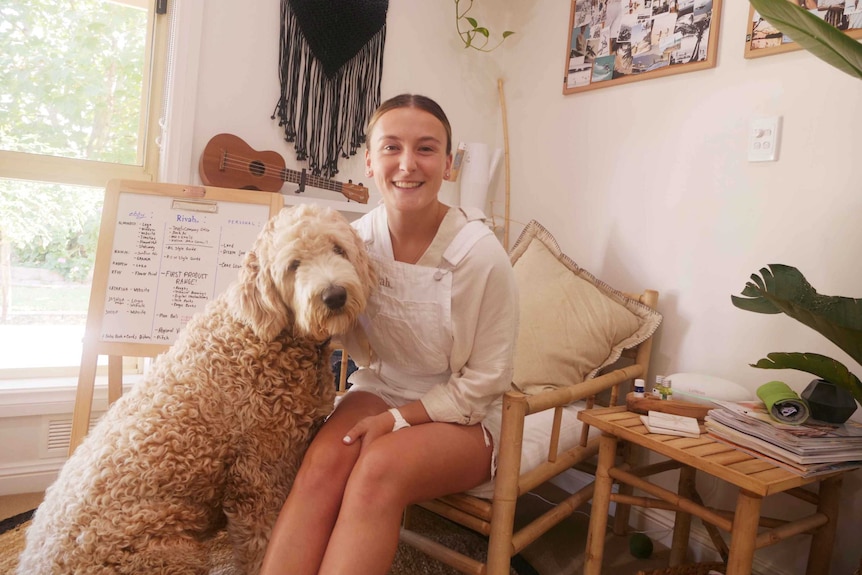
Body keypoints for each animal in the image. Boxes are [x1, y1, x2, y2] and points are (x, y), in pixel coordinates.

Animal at [16, 204, 374, 575]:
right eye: (294, 265)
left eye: (338, 249)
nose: (335, 295)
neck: (262, 336)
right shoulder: (258, 475)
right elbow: (265, 541)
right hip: (172, 554)